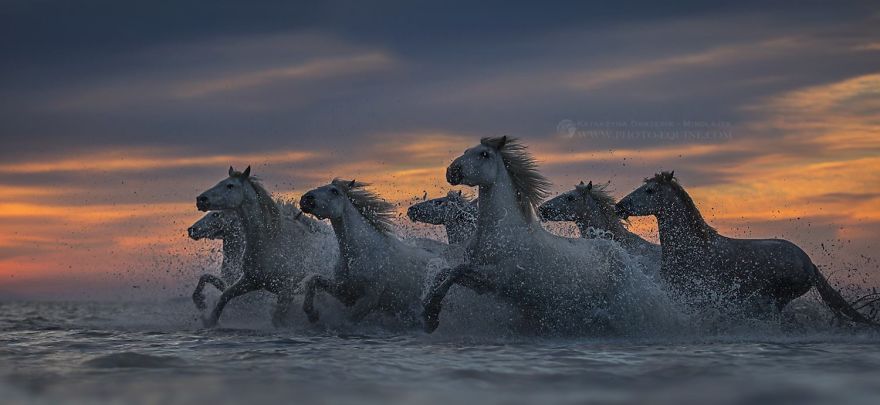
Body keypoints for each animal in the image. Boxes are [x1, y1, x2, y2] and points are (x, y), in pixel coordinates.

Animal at [194, 166, 337, 327]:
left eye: (229, 185)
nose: (201, 200)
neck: (269, 243)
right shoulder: (250, 281)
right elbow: (224, 296)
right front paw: (208, 317)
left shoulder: (286, 290)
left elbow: (278, 318)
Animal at [299, 179, 446, 327]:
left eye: (334, 191)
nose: (305, 199)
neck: (360, 253)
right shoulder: (346, 292)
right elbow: (313, 280)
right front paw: (313, 315)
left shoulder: (370, 299)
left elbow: (348, 320)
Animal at [423, 136, 677, 335]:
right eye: (466, 151)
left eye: (484, 154)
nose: (451, 172)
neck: (500, 232)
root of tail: (618, 251)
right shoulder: (483, 283)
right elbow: (445, 273)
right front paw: (428, 312)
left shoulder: (498, 276)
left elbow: (455, 271)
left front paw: (432, 315)